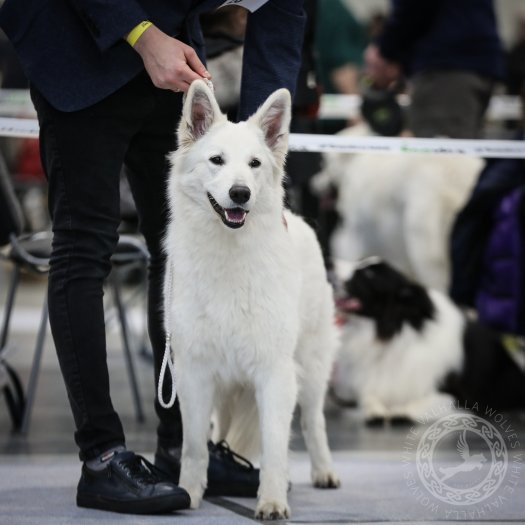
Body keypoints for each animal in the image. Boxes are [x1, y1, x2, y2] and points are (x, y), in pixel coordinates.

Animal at [162, 80, 340, 516]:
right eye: (217, 160)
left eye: (255, 164)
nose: (240, 193)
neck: (229, 253)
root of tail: (300, 221)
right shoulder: (195, 371)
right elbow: (194, 445)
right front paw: (188, 493)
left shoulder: (274, 372)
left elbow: (275, 446)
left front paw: (272, 500)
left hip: (310, 368)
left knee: (313, 421)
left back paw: (323, 471)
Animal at [332, 258, 524, 422]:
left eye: (369, 274)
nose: (329, 264)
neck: (393, 333)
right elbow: (369, 399)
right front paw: (375, 410)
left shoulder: (459, 397)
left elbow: (419, 404)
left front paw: (400, 411)